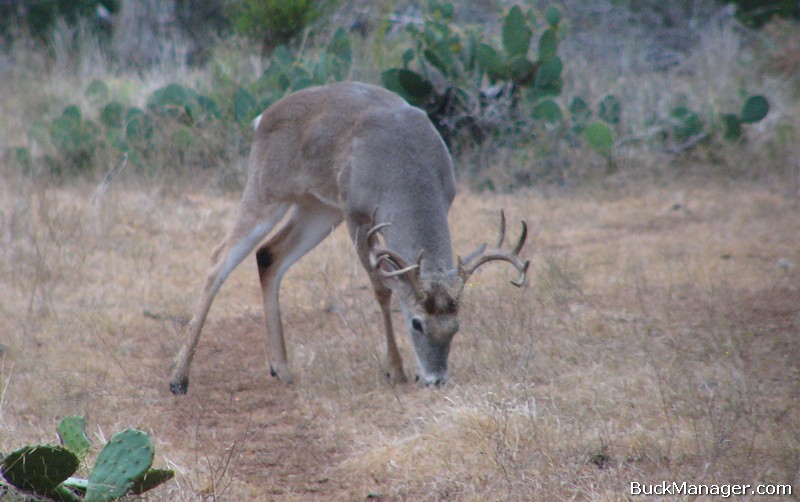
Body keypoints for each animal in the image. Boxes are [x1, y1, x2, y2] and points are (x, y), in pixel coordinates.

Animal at [167, 81, 532, 396]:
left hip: (318, 208)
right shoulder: (357, 214)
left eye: (455, 327)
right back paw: (179, 379)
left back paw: (281, 368)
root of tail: (262, 117)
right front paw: (395, 370)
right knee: (219, 259)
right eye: (416, 324)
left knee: (269, 254)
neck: (405, 168)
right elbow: (382, 288)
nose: (436, 379)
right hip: (267, 188)